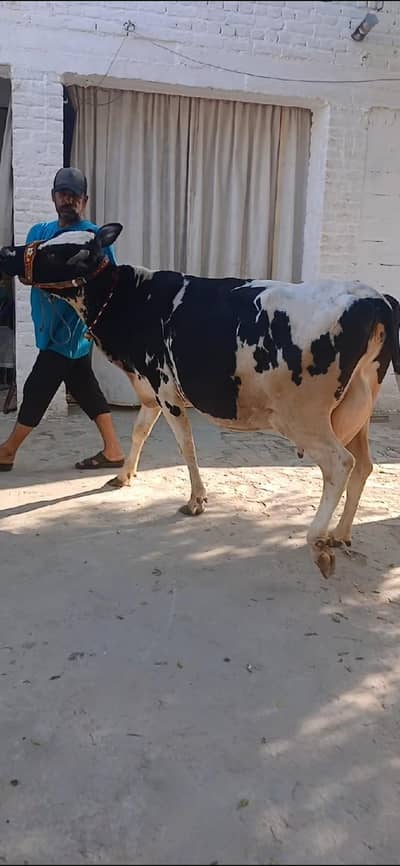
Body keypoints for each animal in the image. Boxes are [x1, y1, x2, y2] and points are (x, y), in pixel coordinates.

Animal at [1, 222, 399, 577]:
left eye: (59, 252)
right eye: (51, 240)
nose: (8, 253)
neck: (130, 300)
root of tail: (374, 298)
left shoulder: (165, 389)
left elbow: (186, 445)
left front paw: (196, 500)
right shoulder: (149, 390)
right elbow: (139, 432)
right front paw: (124, 475)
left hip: (303, 417)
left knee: (340, 464)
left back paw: (318, 541)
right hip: (358, 409)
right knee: (364, 465)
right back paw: (341, 534)